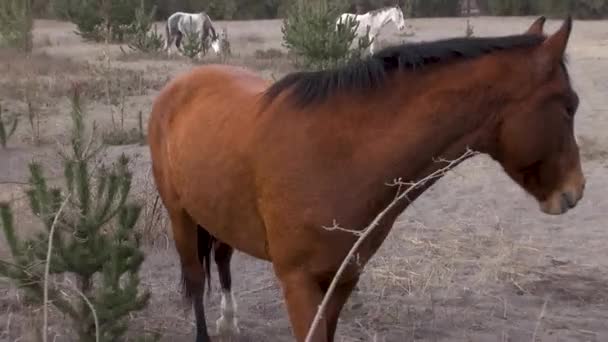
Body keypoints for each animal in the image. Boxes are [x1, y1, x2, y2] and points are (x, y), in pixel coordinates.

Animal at [146, 16, 584, 342]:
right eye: (568, 106)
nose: (575, 191)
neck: (339, 156)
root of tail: (180, 84)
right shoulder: (298, 283)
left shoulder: (342, 279)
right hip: (180, 213)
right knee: (195, 276)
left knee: (222, 257)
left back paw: (229, 321)